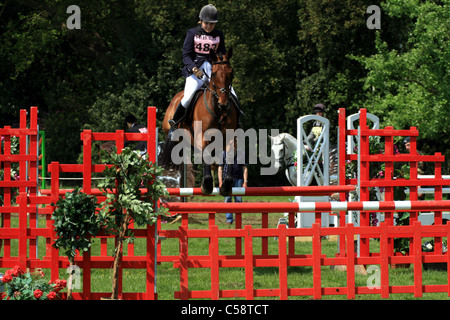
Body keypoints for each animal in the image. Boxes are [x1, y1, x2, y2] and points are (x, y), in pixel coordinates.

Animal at [162, 48, 239, 196]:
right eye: (213, 74)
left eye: (231, 73)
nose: (223, 104)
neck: (217, 111)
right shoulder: (201, 137)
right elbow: (206, 154)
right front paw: (207, 185)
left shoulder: (230, 138)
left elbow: (230, 156)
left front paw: (226, 186)